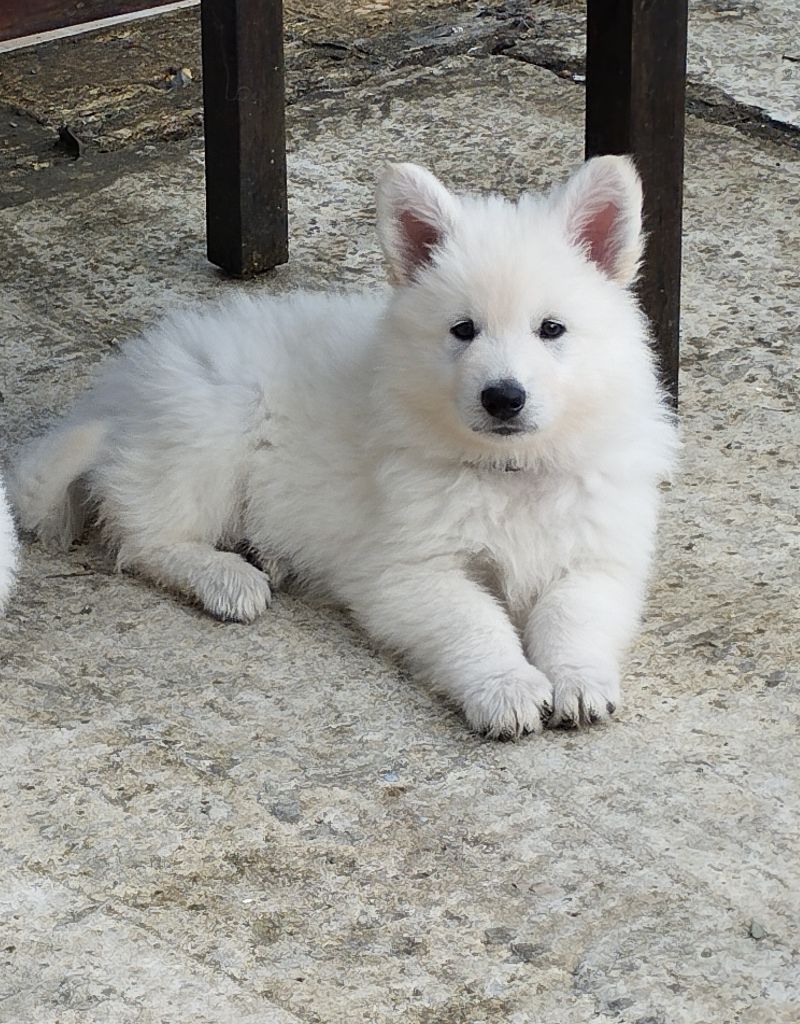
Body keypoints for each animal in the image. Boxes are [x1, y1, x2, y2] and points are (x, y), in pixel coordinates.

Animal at [12, 157, 676, 737]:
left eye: (552, 329)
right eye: (463, 330)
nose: (503, 398)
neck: (508, 469)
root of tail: (121, 392)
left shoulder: (599, 556)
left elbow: (574, 615)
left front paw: (579, 681)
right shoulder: (410, 571)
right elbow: (475, 624)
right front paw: (507, 688)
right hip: (212, 429)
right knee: (144, 537)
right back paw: (227, 577)